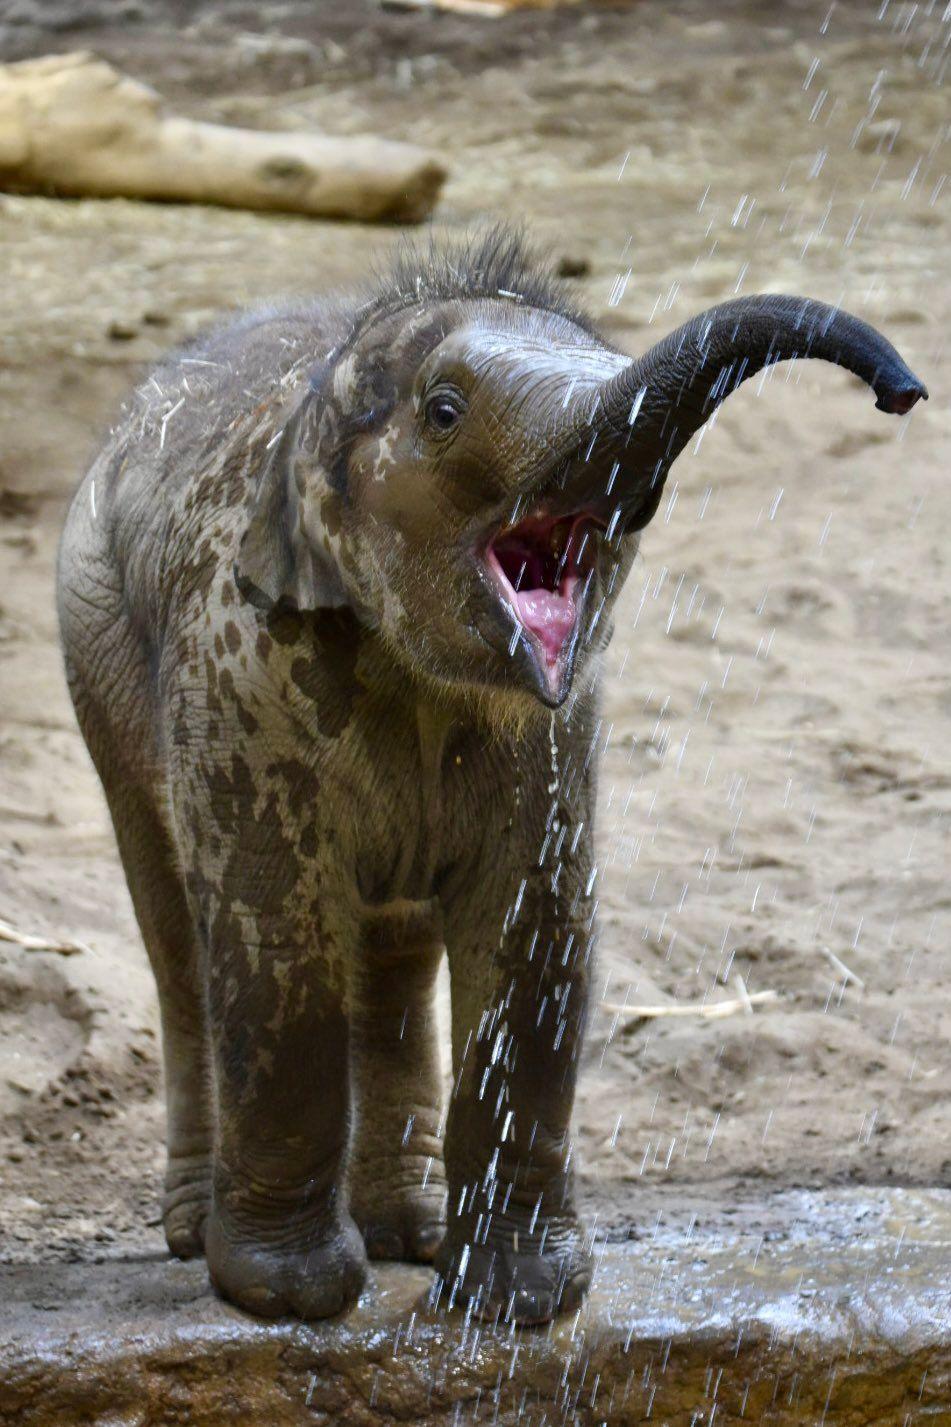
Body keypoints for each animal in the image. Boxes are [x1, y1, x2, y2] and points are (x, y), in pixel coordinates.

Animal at [57, 228, 919, 1318]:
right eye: (443, 410)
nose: (903, 393)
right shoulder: (237, 663)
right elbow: (275, 927)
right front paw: (292, 1297)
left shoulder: (555, 726)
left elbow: (532, 930)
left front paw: (516, 1303)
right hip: (96, 653)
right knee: (177, 938)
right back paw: (193, 1237)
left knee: (389, 956)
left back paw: (411, 1231)